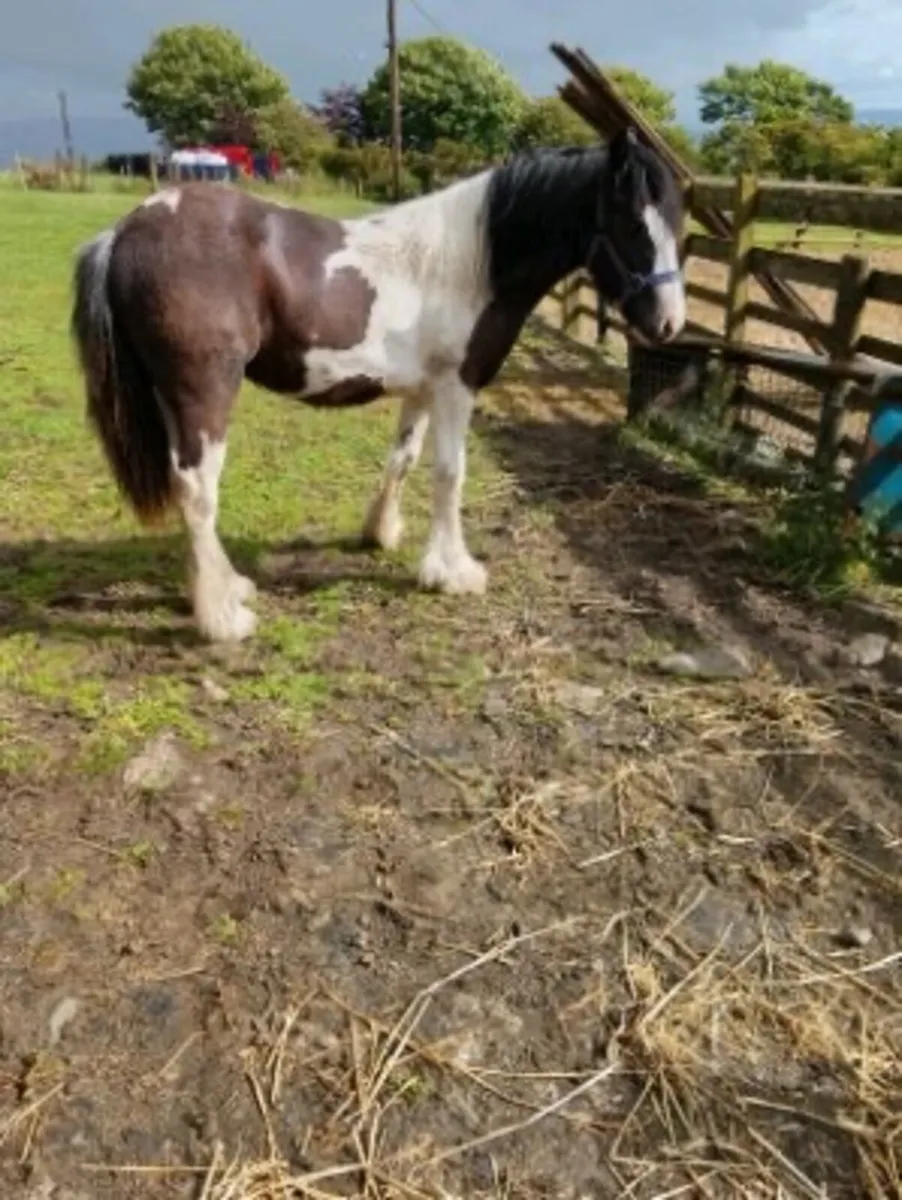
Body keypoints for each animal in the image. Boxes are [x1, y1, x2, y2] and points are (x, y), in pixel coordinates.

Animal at [71, 126, 686, 643]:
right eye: (632, 222)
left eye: (678, 224)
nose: (670, 324)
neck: (472, 262)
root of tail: (123, 232)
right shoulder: (458, 387)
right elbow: (450, 474)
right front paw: (453, 571)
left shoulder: (423, 389)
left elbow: (403, 460)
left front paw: (381, 533)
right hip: (204, 389)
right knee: (197, 489)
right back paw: (223, 618)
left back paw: (225, 586)